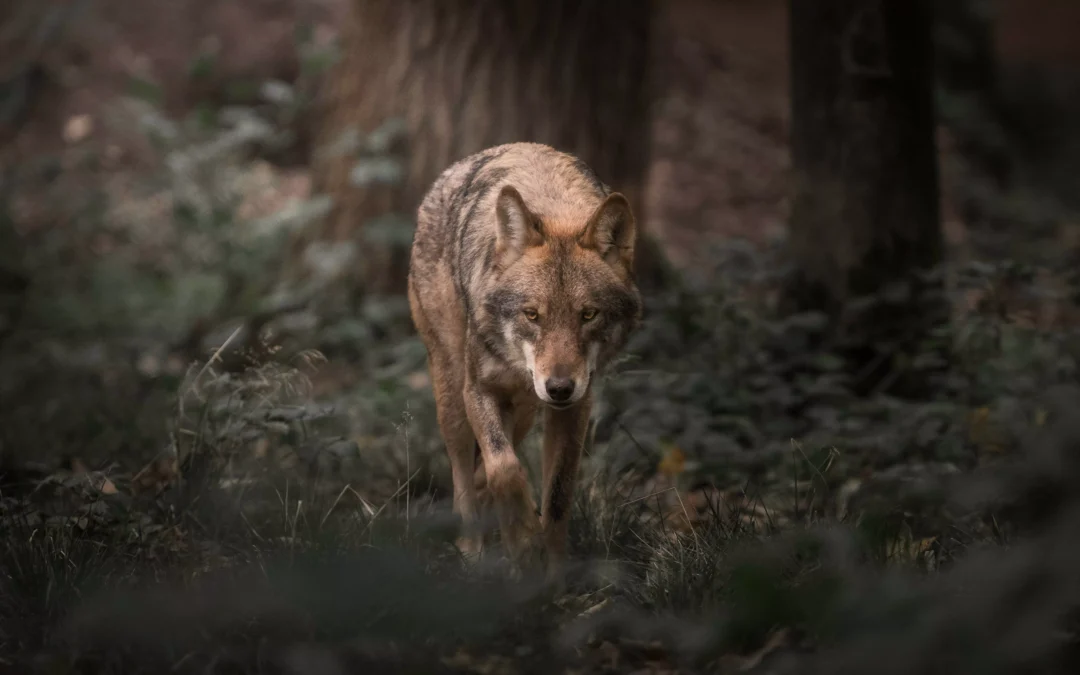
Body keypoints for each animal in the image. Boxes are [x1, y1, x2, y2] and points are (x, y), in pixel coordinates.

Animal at [406, 142, 639, 574]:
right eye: (532, 315)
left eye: (588, 315)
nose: (560, 387)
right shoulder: (479, 390)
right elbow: (505, 469)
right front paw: (524, 543)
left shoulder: (576, 406)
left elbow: (558, 494)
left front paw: (553, 573)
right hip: (453, 392)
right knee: (463, 474)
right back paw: (471, 549)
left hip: (528, 407)